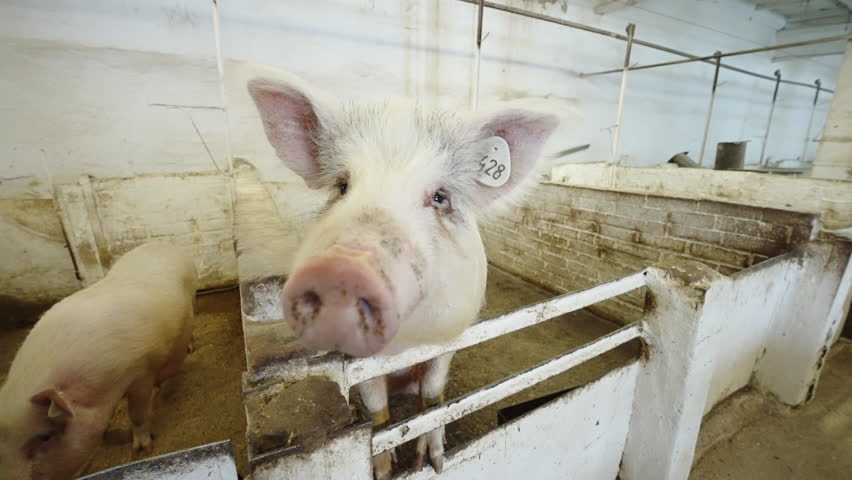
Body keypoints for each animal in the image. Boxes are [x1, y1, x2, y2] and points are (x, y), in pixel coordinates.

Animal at [0, 242, 198, 480]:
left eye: (45, 436)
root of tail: (163, 244)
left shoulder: (140, 372)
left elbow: (138, 415)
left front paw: (141, 451)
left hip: (192, 297)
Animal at [247, 74, 557, 479]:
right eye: (342, 186)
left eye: (439, 197)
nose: (342, 270)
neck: (405, 342)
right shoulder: (358, 360)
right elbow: (377, 411)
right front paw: (383, 470)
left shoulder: (449, 338)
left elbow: (433, 398)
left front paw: (432, 462)